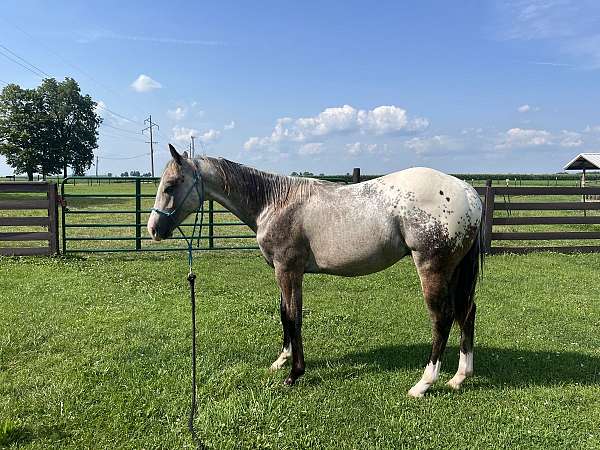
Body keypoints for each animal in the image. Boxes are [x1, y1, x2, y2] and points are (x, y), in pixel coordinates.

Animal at [149, 145, 482, 398]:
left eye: (170, 185)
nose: (153, 229)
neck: (275, 201)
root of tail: (469, 193)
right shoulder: (288, 272)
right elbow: (285, 314)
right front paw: (281, 361)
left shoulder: (287, 270)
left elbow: (292, 316)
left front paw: (294, 374)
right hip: (454, 270)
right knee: (466, 313)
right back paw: (459, 377)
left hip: (432, 268)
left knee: (442, 318)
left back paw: (423, 384)